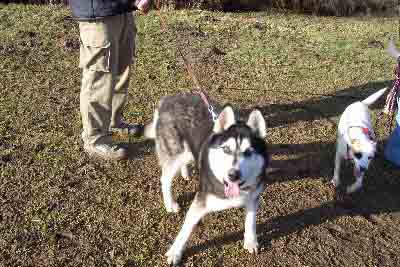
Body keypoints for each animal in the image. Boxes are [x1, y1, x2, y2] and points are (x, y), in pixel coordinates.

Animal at [144, 93, 268, 266]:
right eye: (226, 149)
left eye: (248, 152)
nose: (233, 175)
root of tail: (169, 99)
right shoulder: (199, 202)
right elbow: (186, 228)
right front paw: (175, 252)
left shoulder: (253, 196)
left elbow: (251, 220)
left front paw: (251, 241)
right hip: (176, 153)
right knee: (165, 179)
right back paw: (170, 204)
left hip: (188, 152)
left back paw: (186, 172)